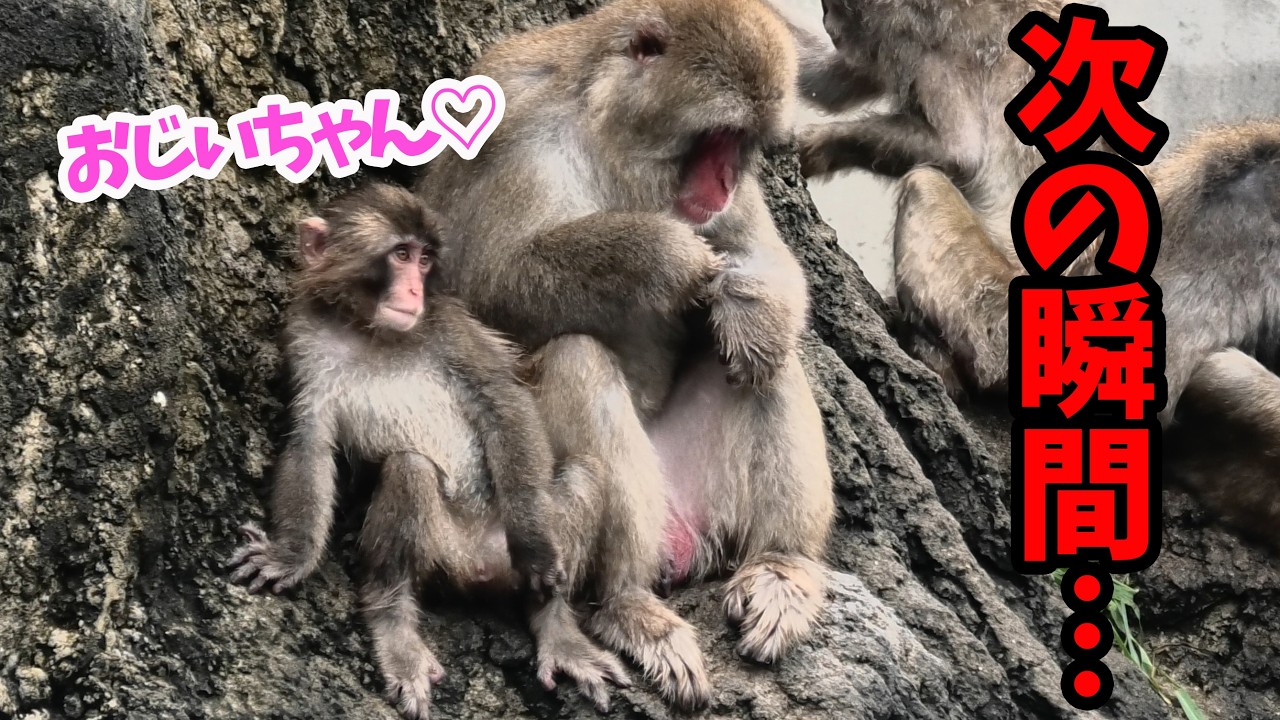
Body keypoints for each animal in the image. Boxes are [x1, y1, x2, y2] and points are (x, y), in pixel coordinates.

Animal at [226, 183, 631, 718]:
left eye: (424, 261)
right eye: (400, 255)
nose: (415, 290)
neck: (368, 329)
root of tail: (480, 564)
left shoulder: (449, 324)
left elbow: (503, 401)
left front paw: (536, 547)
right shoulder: (304, 337)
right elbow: (311, 439)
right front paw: (291, 554)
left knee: (583, 472)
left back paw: (555, 620)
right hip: (441, 551)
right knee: (409, 468)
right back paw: (394, 621)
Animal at [417, 0, 836, 709]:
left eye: (743, 144)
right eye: (715, 135)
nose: (725, 182)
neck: (607, 130)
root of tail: (684, 540)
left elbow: (763, 264)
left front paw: (745, 302)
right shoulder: (509, 125)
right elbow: (478, 291)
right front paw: (659, 253)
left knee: (766, 362)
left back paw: (784, 567)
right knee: (575, 357)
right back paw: (629, 603)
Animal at [792, 0, 1280, 547]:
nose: (830, 18)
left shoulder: (926, 40)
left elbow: (954, 150)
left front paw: (816, 142)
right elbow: (826, 80)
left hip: (998, 316)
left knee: (926, 184)